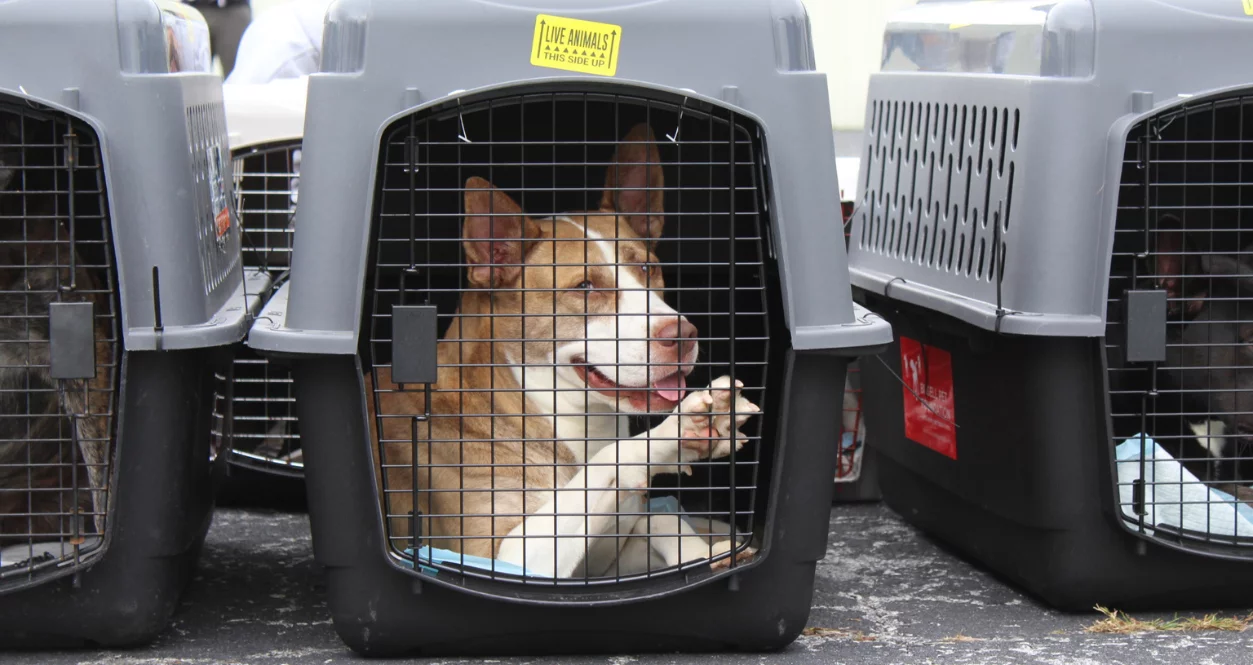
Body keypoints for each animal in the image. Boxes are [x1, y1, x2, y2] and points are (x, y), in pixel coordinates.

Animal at [368, 122, 761, 581]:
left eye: (647, 267)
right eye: (585, 287)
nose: (683, 334)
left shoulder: (606, 557)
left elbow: (660, 519)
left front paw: (703, 550)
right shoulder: (496, 555)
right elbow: (610, 463)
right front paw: (678, 433)